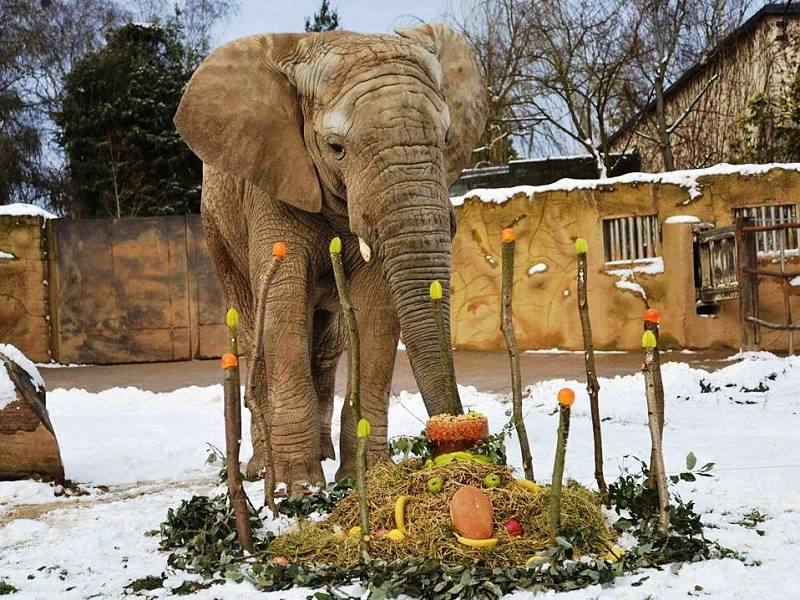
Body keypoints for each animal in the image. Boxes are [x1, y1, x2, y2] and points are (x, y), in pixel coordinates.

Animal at [173, 23, 488, 492]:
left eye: (446, 139)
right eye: (337, 148)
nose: (458, 441)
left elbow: (377, 311)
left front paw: (369, 478)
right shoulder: (272, 182)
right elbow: (282, 303)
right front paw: (299, 487)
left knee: (325, 347)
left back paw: (320, 455)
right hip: (217, 233)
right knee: (255, 333)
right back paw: (261, 471)